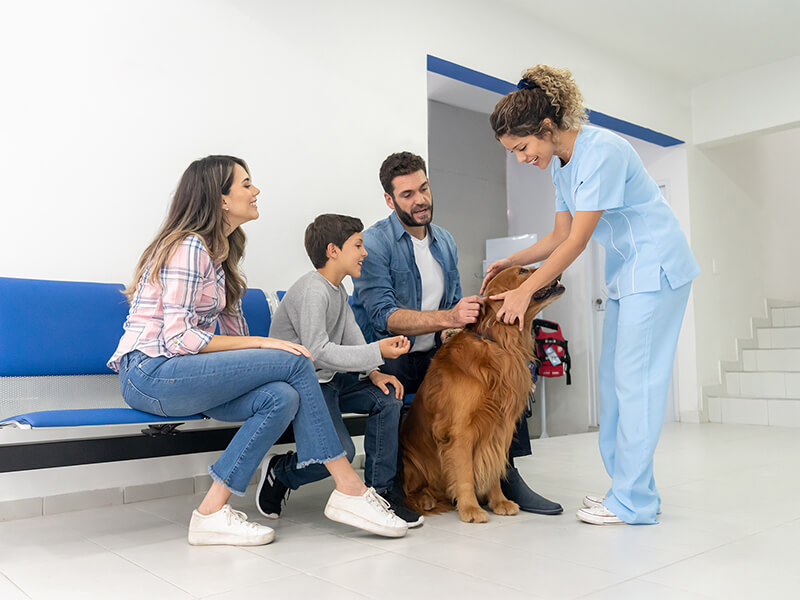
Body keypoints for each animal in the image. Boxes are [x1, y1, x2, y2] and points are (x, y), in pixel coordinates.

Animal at [398, 264, 564, 524]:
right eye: (522, 271)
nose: (554, 270)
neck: (499, 343)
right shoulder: (460, 430)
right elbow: (465, 472)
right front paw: (470, 507)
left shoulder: (500, 426)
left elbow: (493, 467)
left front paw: (499, 501)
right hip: (410, 461)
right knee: (410, 490)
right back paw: (425, 499)